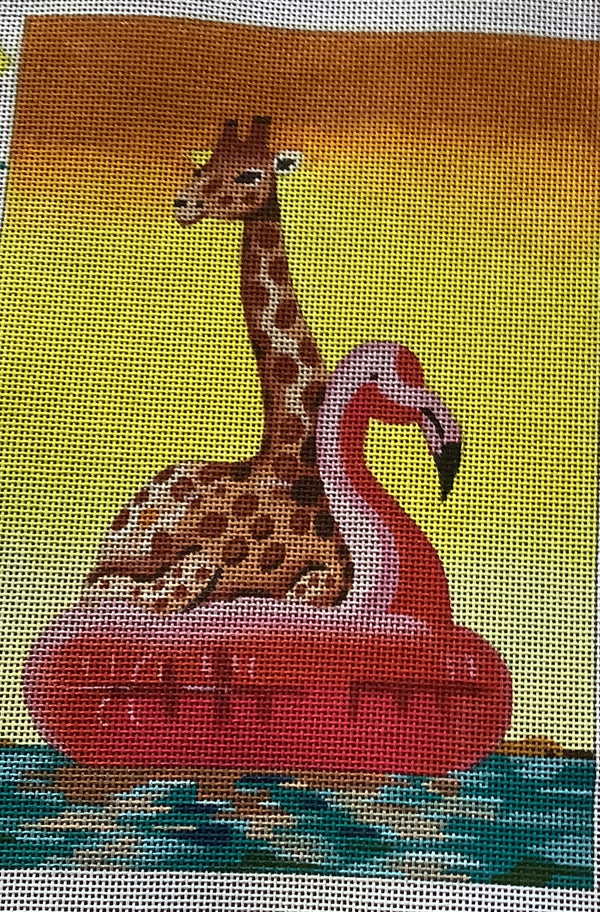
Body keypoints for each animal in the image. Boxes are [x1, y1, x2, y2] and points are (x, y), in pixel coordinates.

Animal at [81, 117, 354, 615]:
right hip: (131, 532)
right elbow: (147, 589)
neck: (294, 455)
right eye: (203, 165)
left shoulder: (334, 567)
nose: (184, 204)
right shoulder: (198, 563)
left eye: (250, 174)